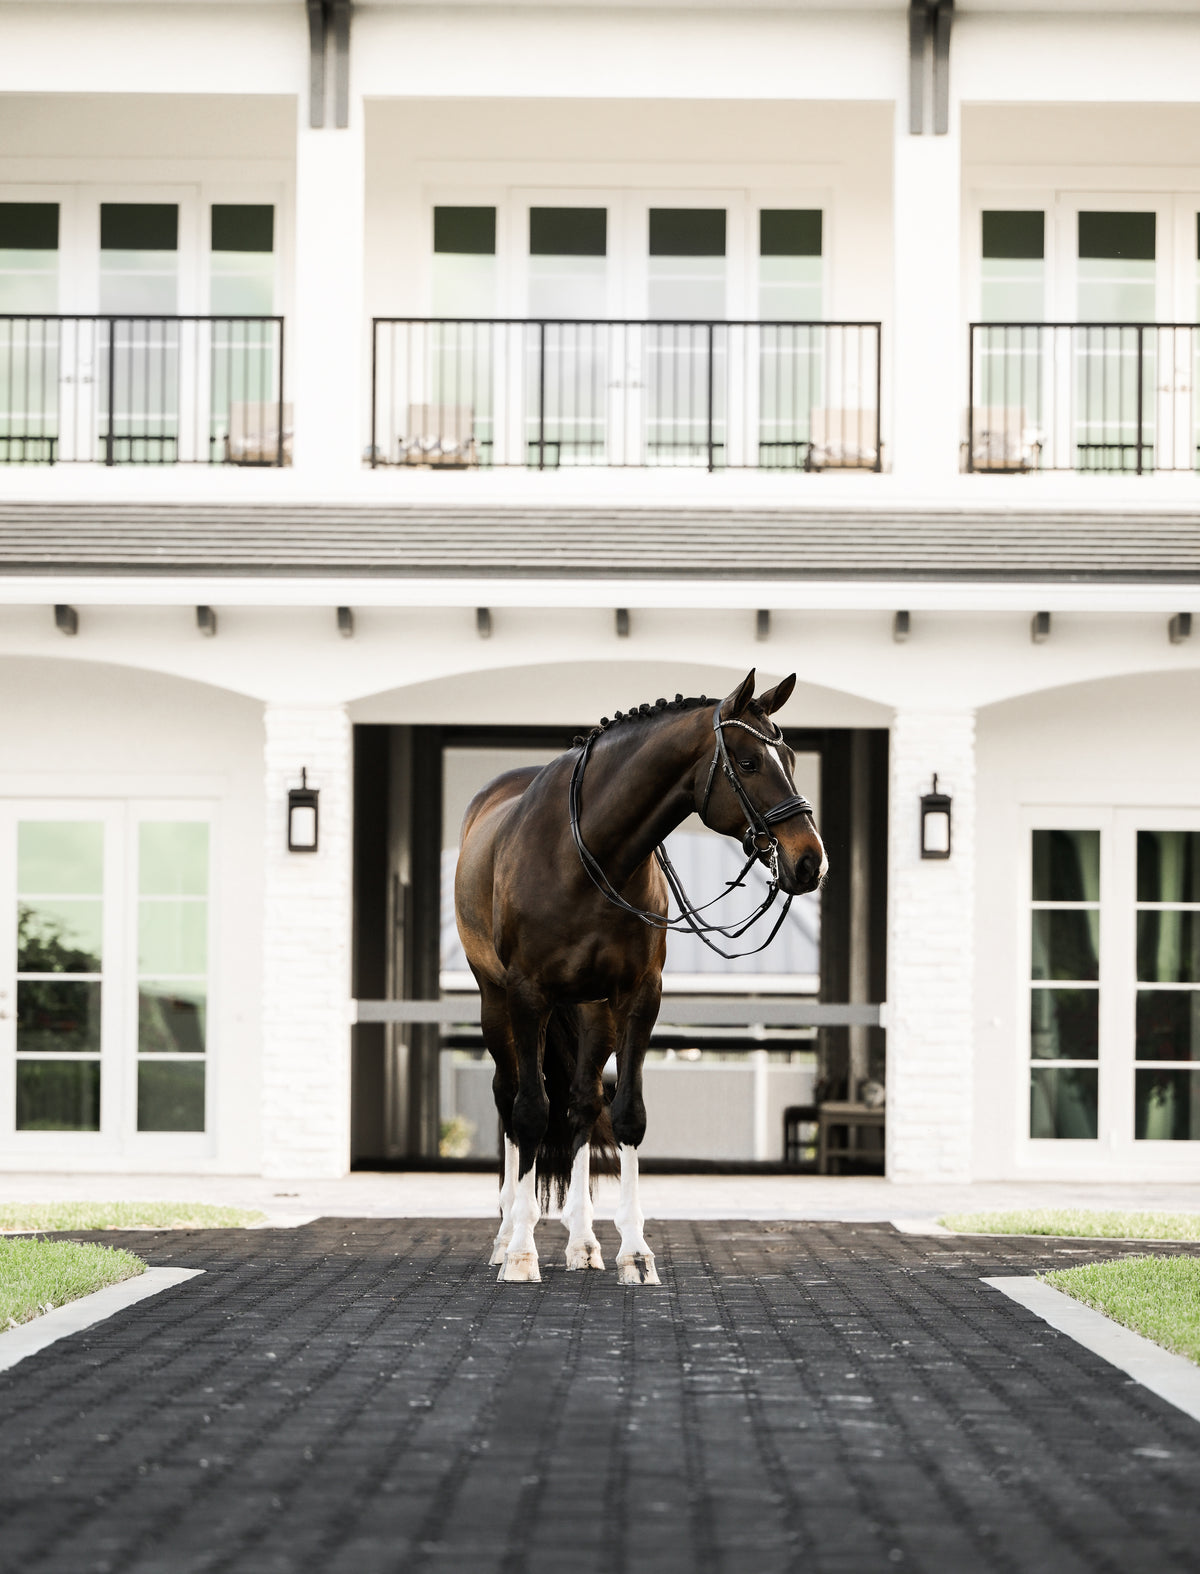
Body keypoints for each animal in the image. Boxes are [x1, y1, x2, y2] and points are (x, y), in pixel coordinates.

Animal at [453, 669, 827, 1285]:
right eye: (749, 762)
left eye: (791, 758)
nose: (809, 862)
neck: (583, 855)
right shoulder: (528, 995)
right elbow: (530, 1114)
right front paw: (523, 1254)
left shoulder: (637, 997)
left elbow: (626, 1114)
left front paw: (634, 1251)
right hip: (496, 1004)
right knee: (510, 1099)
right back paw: (507, 1235)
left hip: (591, 1011)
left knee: (582, 1103)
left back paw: (583, 1242)